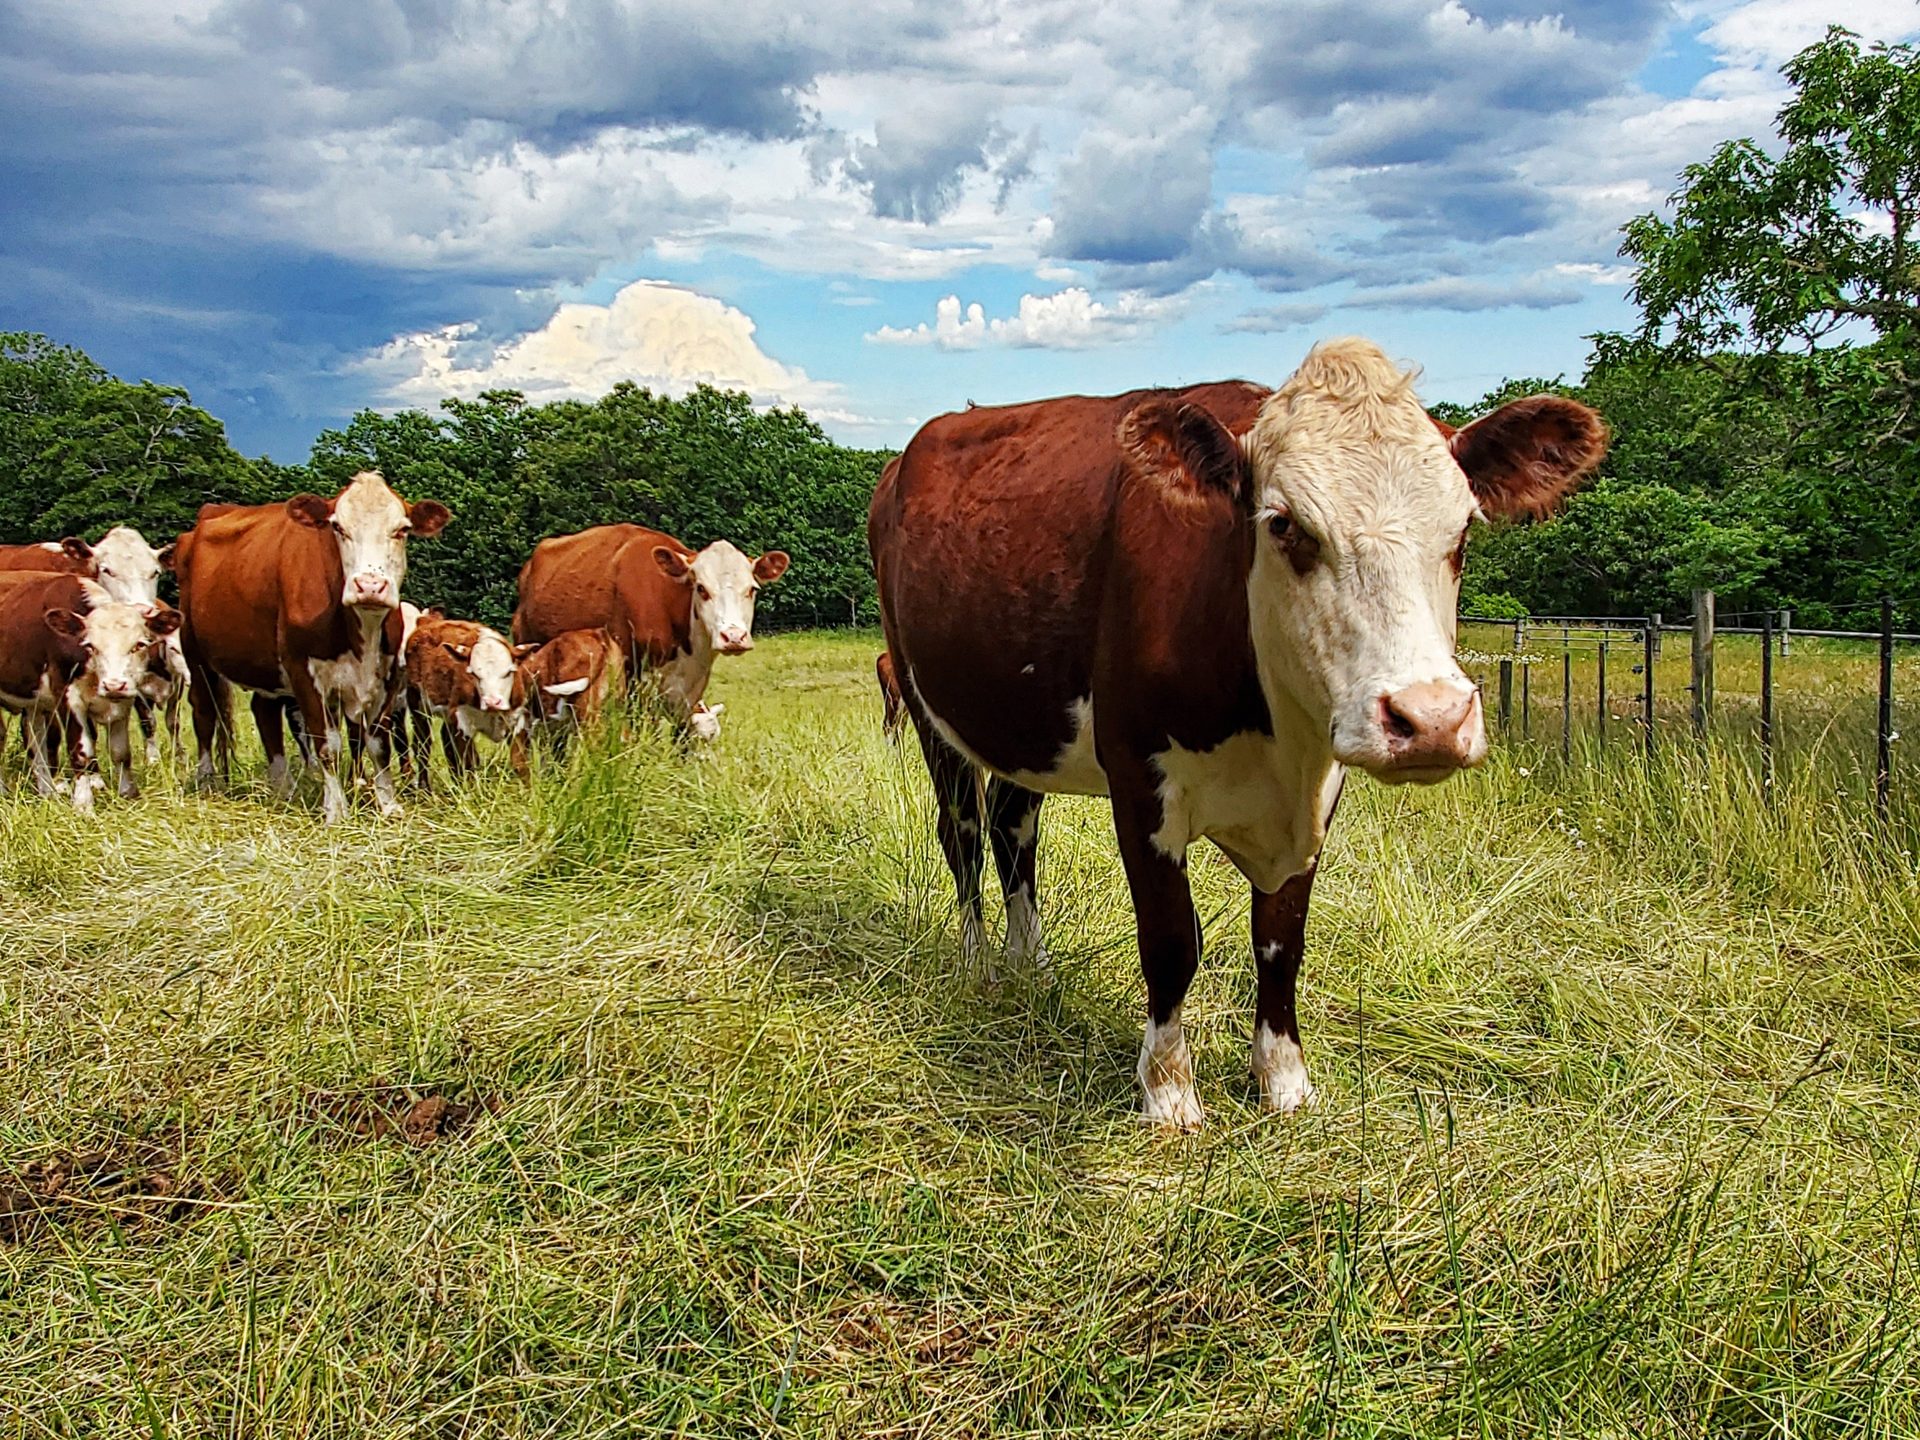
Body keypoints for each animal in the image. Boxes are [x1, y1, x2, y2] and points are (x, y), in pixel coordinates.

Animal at [0, 572, 181, 809]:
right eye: (90, 646)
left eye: (139, 644)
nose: (113, 684)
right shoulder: (68, 698)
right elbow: (81, 752)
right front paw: (83, 804)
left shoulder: (125, 700)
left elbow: (121, 751)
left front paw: (128, 794)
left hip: (35, 703)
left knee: (35, 741)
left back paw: (48, 792)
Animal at [174, 471, 450, 822]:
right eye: (338, 528)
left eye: (401, 529)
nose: (370, 586)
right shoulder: (303, 670)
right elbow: (327, 745)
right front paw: (336, 810)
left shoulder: (385, 675)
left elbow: (379, 742)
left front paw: (388, 805)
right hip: (196, 655)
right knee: (205, 713)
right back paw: (207, 779)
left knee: (263, 712)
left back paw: (283, 787)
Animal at [401, 616, 534, 783]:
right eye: (473, 674)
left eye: (509, 672)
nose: (492, 702)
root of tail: (426, 621)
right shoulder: (462, 721)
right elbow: (469, 764)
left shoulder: (518, 719)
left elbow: (520, 764)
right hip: (417, 705)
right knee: (422, 746)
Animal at [870, 338, 1606, 1129]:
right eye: (1283, 524)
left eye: (1464, 528)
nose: (1432, 719)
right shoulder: (1138, 778)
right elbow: (1171, 939)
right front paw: (1168, 1092)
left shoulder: (1315, 792)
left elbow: (1281, 939)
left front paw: (1283, 1081)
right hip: (924, 702)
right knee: (964, 833)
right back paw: (978, 965)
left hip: (1023, 721)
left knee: (1013, 828)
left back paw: (1029, 963)